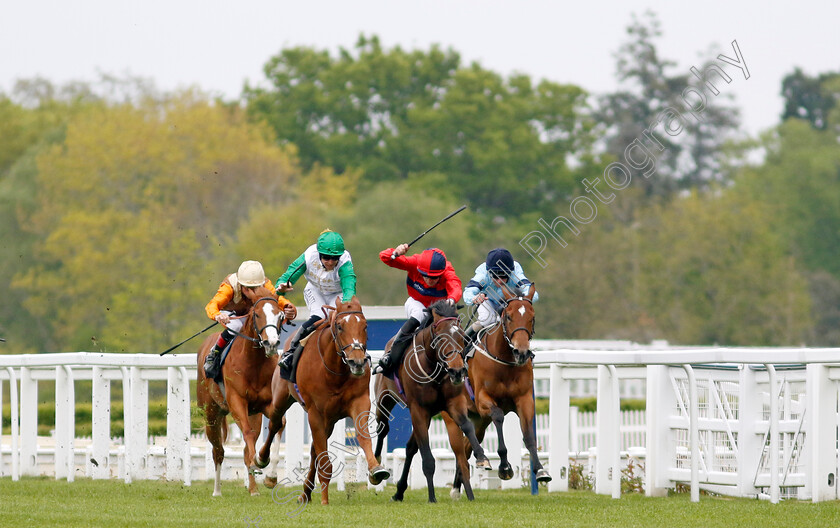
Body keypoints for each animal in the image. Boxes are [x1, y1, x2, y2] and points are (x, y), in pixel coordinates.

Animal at [197, 284, 288, 496]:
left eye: (280, 315)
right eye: (257, 314)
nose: (271, 343)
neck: (253, 364)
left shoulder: (266, 405)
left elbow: (279, 424)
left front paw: (270, 475)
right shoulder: (237, 402)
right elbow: (246, 433)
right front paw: (259, 461)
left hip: (254, 414)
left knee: (246, 449)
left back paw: (253, 489)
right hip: (211, 414)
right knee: (218, 451)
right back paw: (217, 491)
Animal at [254, 296, 388, 508]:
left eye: (365, 326)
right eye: (340, 326)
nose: (357, 362)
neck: (334, 370)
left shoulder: (359, 402)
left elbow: (362, 436)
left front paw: (376, 470)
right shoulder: (315, 412)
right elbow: (323, 458)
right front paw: (325, 500)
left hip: (329, 421)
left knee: (313, 451)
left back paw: (305, 493)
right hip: (281, 399)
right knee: (275, 423)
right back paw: (264, 463)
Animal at [374, 302, 492, 504]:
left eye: (462, 336)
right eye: (440, 337)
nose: (457, 371)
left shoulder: (454, 403)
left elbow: (467, 427)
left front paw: (482, 456)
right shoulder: (418, 410)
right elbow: (428, 458)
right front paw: (431, 497)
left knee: (410, 448)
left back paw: (399, 491)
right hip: (385, 399)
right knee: (383, 429)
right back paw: (376, 468)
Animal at [446, 284, 552, 496]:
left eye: (532, 317)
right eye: (509, 316)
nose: (521, 352)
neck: (505, 361)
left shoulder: (524, 400)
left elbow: (529, 436)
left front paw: (540, 470)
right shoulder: (483, 399)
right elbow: (499, 417)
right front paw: (504, 467)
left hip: (478, 420)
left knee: (468, 445)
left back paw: (460, 482)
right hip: (454, 416)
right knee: (459, 447)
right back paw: (456, 487)